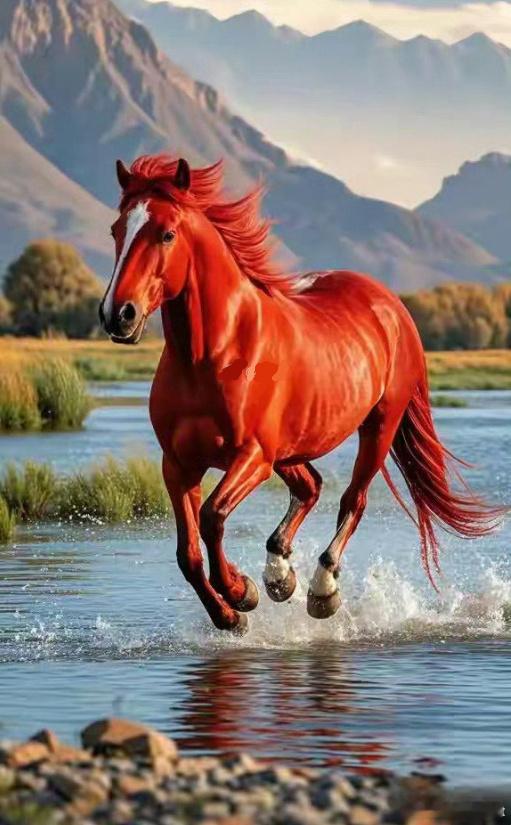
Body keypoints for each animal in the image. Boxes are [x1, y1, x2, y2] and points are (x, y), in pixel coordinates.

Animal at [99, 153, 498, 634]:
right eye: (116, 230)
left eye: (167, 234)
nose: (118, 315)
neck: (214, 354)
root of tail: (390, 304)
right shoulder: (179, 465)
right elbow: (188, 555)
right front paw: (232, 611)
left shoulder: (251, 457)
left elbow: (213, 518)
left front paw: (240, 590)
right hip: (290, 449)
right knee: (310, 486)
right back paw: (279, 576)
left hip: (377, 427)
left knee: (353, 500)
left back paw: (320, 590)